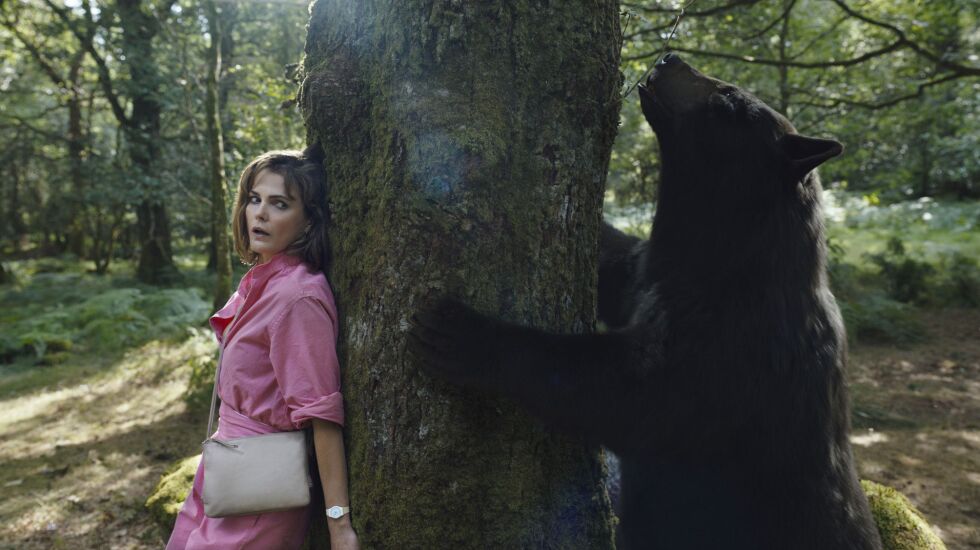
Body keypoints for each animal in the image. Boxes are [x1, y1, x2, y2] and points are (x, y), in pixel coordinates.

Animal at [407, 53, 882, 550]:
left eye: (729, 100)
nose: (671, 57)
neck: (724, 263)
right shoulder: (648, 273)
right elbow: (615, 264)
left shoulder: (734, 352)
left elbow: (626, 395)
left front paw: (463, 334)